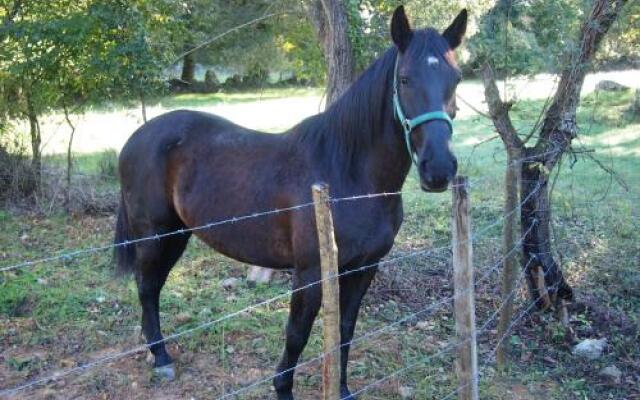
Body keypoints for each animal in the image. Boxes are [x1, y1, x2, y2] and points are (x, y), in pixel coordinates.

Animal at [114, 7, 464, 400]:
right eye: (404, 79)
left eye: (456, 78)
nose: (438, 169)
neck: (349, 173)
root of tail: (137, 137)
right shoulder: (310, 272)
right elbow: (297, 334)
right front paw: (283, 388)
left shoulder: (364, 268)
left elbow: (345, 330)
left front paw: (342, 388)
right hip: (154, 235)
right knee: (147, 287)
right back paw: (160, 357)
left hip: (177, 234)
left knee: (153, 287)